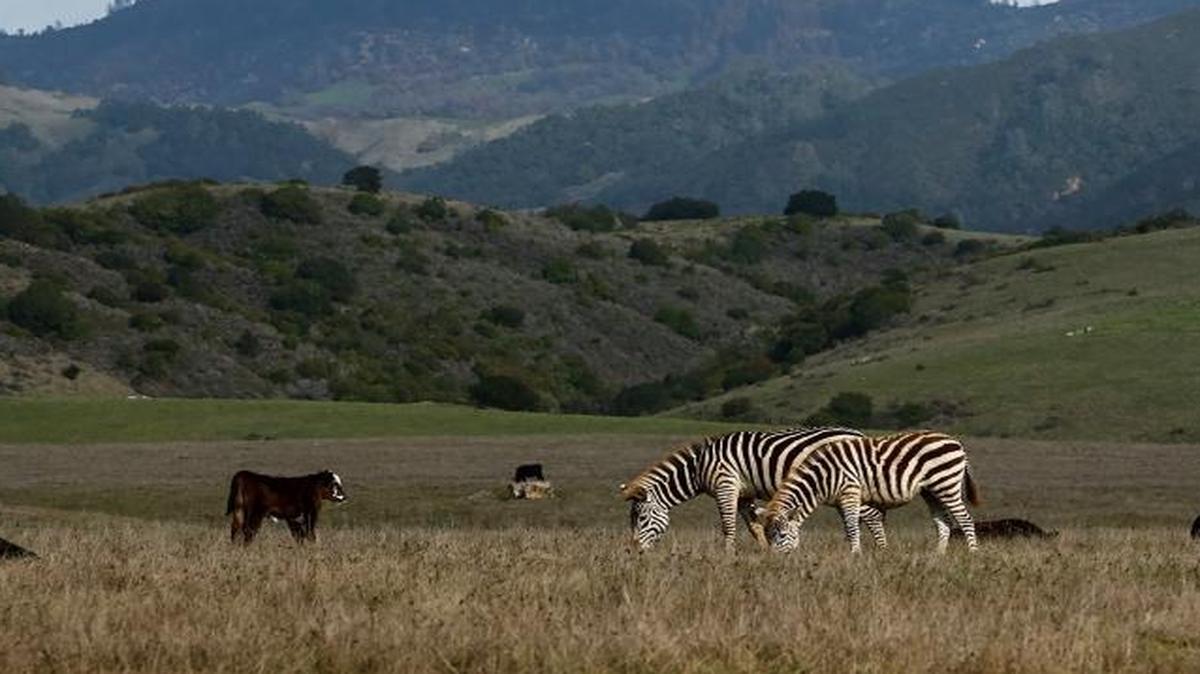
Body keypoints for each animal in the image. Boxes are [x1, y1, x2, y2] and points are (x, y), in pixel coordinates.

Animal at [619, 427, 887, 552]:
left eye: (642, 518)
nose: (634, 551)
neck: (697, 467)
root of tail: (858, 434)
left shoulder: (726, 485)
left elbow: (728, 526)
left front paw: (727, 556)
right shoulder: (744, 494)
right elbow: (754, 526)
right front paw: (766, 551)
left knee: (872, 516)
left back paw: (879, 553)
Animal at [758, 431, 980, 553]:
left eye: (782, 534)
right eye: (767, 535)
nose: (776, 562)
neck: (822, 478)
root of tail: (956, 442)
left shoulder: (850, 492)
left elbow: (851, 526)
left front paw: (855, 554)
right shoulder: (840, 500)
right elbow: (850, 527)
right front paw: (853, 552)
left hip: (947, 484)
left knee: (965, 519)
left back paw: (973, 552)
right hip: (932, 490)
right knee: (944, 521)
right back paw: (938, 555)